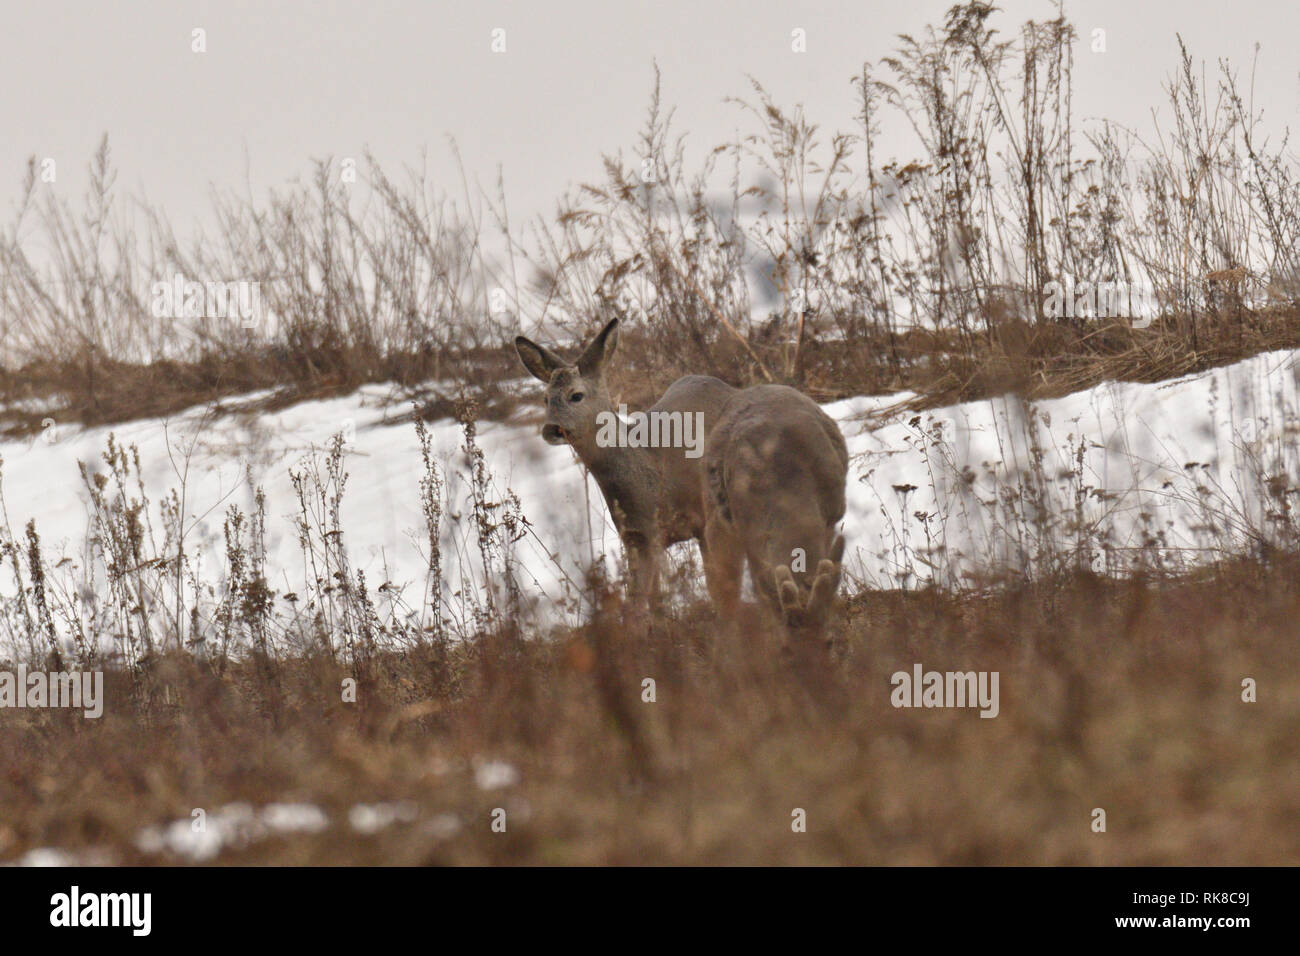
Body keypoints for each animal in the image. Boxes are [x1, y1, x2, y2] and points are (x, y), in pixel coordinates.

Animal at [517, 316, 852, 642]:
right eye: (545, 398)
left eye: (576, 395)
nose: (551, 429)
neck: (650, 477)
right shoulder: (638, 537)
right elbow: (647, 601)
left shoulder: (699, 521)